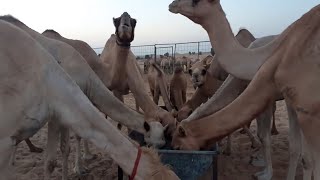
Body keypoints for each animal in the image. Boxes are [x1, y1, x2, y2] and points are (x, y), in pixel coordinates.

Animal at [0, 19, 179, 180]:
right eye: (162, 138)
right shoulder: (62, 109)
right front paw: (78, 168)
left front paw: (86, 159)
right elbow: (64, 149)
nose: (168, 146)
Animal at [168, 0, 320, 179]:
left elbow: (292, 148)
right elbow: (268, 136)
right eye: (191, 71)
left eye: (195, 1)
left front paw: (265, 172)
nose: (172, 5)